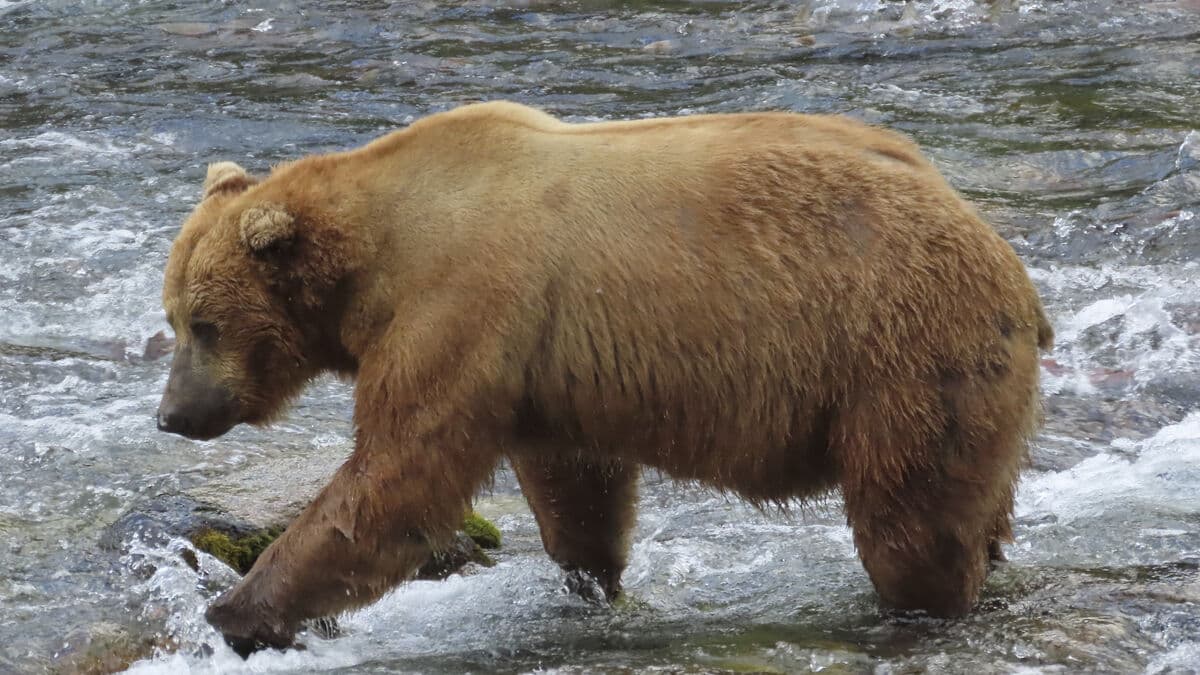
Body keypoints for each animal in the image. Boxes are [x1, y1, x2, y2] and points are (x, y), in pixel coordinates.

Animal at [156, 100, 1053, 653]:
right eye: (172, 315)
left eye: (204, 323)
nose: (171, 414)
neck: (375, 259)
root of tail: (1003, 254)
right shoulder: (540, 368)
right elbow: (575, 490)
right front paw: (589, 582)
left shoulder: (460, 306)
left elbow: (396, 476)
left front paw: (236, 609)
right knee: (976, 504)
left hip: (902, 350)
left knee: (909, 520)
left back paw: (920, 611)